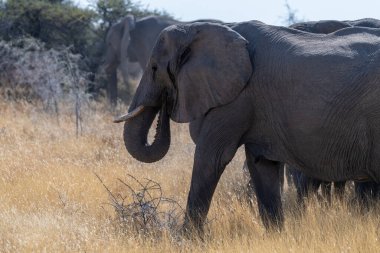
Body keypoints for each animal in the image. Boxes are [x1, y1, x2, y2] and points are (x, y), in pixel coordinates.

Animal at [114, 20, 380, 232]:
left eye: (154, 68)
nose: (165, 105)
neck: (201, 28)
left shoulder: (237, 98)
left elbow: (211, 158)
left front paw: (187, 241)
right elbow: (262, 166)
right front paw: (277, 237)